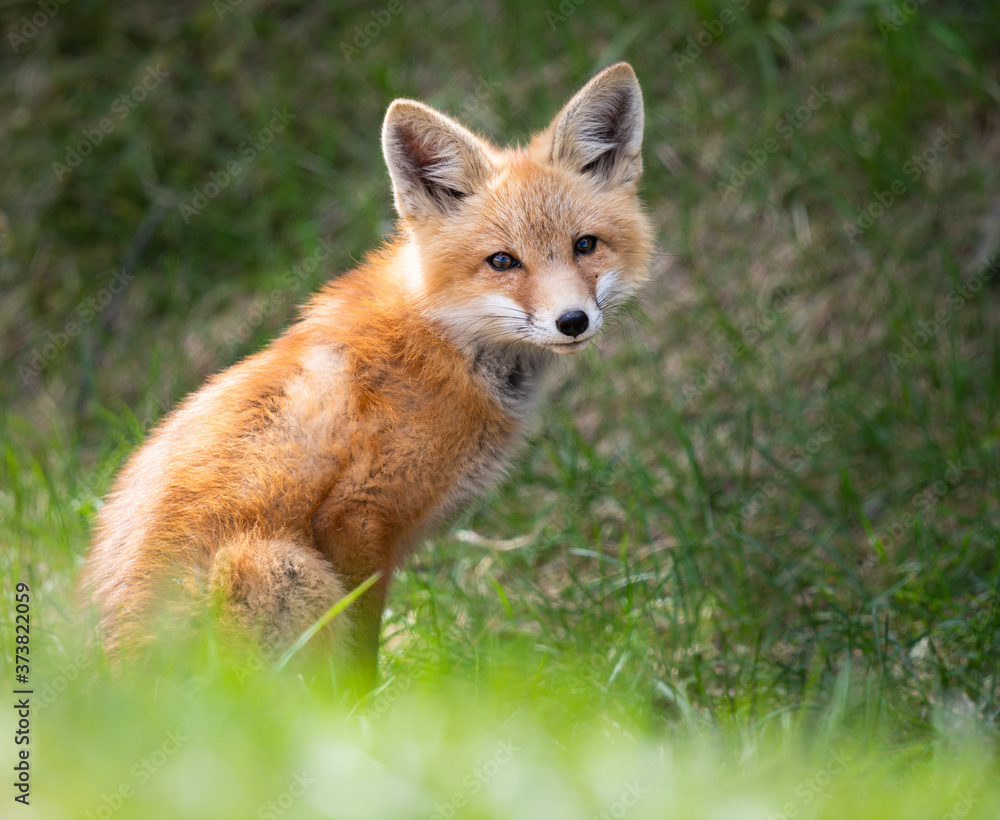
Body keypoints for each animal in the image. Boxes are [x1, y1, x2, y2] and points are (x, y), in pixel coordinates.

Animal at [80, 62, 653, 688]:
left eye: (585, 245)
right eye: (503, 261)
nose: (572, 321)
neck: (444, 343)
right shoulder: (356, 516)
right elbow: (359, 661)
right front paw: (362, 713)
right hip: (278, 565)